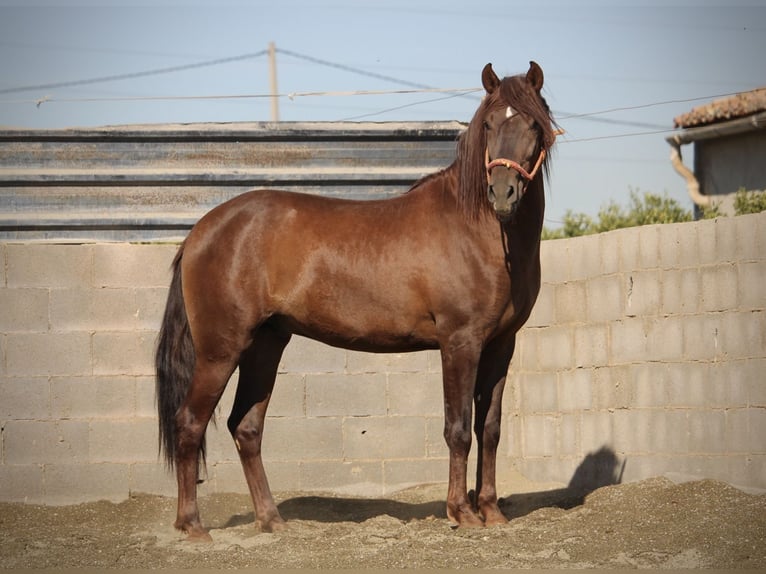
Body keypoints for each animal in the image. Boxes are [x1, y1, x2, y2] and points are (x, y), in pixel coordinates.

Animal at [156, 61, 558, 540]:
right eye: (490, 123)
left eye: (533, 123)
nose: (502, 193)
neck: (479, 231)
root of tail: (201, 231)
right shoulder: (460, 342)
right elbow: (458, 428)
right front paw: (461, 512)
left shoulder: (500, 344)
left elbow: (490, 428)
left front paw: (492, 511)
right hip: (220, 350)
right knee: (190, 422)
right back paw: (192, 525)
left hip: (265, 345)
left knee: (246, 428)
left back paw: (272, 520)